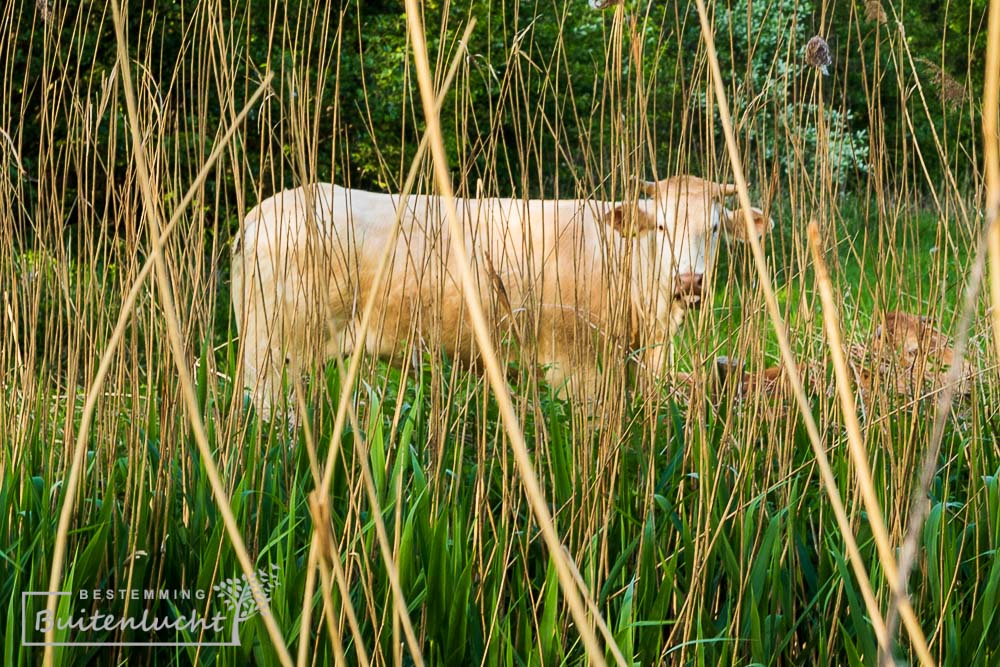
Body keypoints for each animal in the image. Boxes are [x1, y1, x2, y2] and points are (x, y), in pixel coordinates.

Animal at [232, 175, 772, 420]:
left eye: (715, 229)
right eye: (660, 226)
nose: (689, 280)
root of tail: (263, 212)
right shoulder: (575, 368)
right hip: (270, 355)